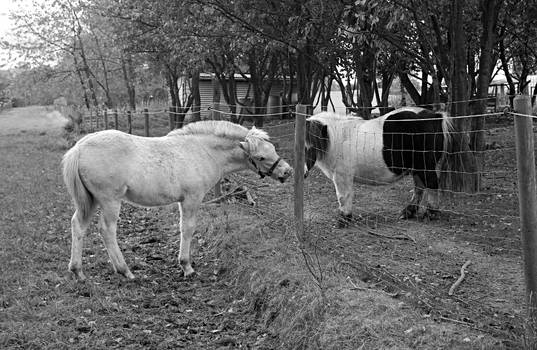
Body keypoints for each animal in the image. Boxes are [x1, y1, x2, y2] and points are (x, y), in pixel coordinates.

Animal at [61, 120, 294, 278]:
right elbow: (188, 228)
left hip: (90, 200)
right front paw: (186, 266)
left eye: (273, 149)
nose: (287, 171)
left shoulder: (184, 200)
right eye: (261, 157)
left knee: (78, 225)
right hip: (110, 200)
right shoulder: (192, 198)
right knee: (107, 230)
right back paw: (125, 270)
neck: (203, 151)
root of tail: (79, 147)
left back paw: (78, 271)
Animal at [304, 107, 454, 227]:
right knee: (419, 187)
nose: (303, 172)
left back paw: (431, 214)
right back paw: (408, 212)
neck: (337, 139)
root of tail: (436, 116)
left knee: (431, 185)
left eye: (312, 147)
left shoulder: (342, 177)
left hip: (424, 166)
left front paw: (344, 219)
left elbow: (343, 197)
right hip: (417, 168)